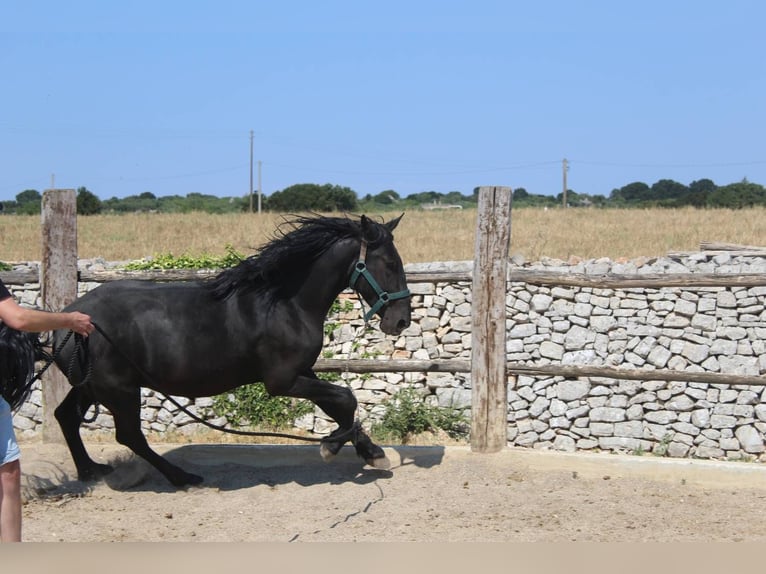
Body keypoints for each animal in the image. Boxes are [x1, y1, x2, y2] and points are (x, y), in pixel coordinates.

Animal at [45, 213, 411, 487]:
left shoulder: (301, 371)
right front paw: (332, 446)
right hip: (119, 390)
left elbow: (337, 404)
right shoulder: (282, 381)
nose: (401, 320)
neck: (283, 303)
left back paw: (91, 471)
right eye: (390, 263)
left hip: (91, 387)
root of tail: (67, 319)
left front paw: (370, 451)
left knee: (66, 416)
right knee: (129, 435)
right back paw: (183, 477)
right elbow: (345, 398)